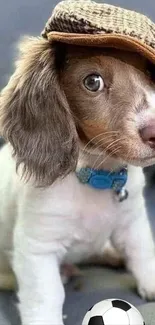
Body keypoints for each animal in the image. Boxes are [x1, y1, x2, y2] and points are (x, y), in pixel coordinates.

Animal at [0, 36, 155, 322]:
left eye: (151, 72)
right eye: (93, 82)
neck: (95, 175)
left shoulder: (133, 220)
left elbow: (142, 252)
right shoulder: (37, 248)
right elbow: (46, 296)